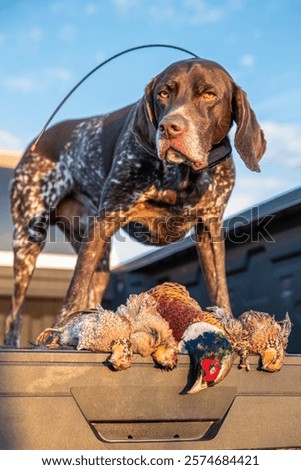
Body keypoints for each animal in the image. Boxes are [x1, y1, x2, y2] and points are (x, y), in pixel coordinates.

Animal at [4, 57, 262, 346]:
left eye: (209, 94)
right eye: (163, 93)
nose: (169, 127)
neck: (181, 175)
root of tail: (37, 142)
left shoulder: (210, 229)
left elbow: (220, 289)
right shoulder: (107, 217)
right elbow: (74, 290)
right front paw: (58, 333)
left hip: (98, 251)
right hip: (30, 239)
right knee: (14, 314)